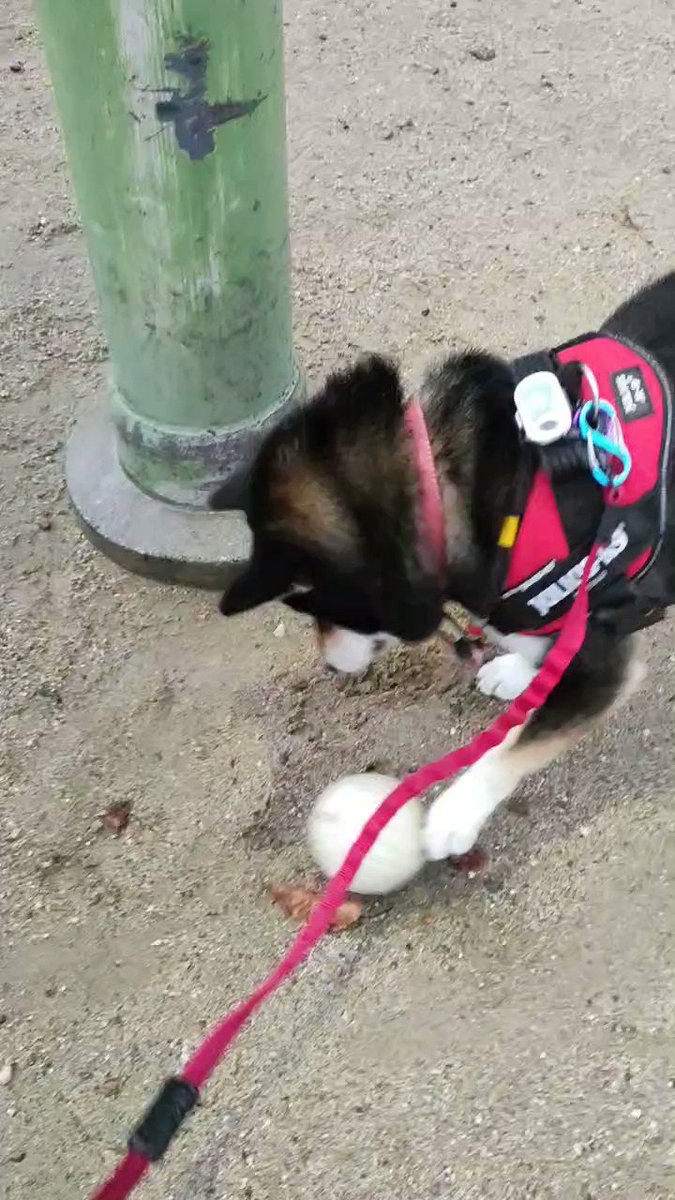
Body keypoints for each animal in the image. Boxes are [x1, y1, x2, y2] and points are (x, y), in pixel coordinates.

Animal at [210, 270, 672, 864]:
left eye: (312, 604)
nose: (329, 667)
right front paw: (523, 669)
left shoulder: (603, 655)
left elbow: (516, 744)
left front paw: (455, 811)